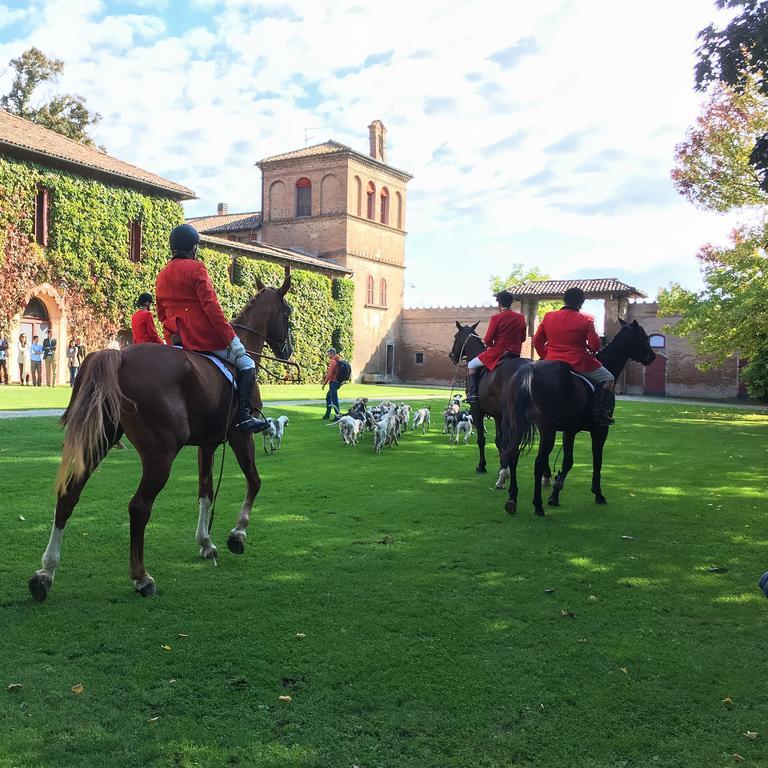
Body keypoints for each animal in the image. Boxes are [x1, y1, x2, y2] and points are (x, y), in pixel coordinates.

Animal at [28, 268, 292, 600]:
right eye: (288, 312)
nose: (288, 350)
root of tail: (119, 357)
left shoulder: (208, 444)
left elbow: (205, 491)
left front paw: (206, 543)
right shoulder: (239, 436)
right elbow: (254, 481)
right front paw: (237, 535)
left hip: (99, 442)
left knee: (68, 496)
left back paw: (45, 573)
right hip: (160, 456)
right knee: (139, 507)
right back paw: (141, 577)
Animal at [448, 320, 532, 488]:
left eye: (456, 336)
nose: (452, 355)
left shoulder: (477, 410)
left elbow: (482, 440)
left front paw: (482, 466)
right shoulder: (498, 415)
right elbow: (499, 442)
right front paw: (501, 468)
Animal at [500, 318, 656, 516]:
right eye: (642, 337)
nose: (652, 356)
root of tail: (528, 370)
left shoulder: (570, 431)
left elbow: (568, 461)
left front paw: (555, 493)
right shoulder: (600, 430)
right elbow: (596, 461)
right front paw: (597, 493)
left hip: (515, 425)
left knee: (513, 454)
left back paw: (512, 498)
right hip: (548, 430)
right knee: (538, 462)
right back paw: (538, 505)